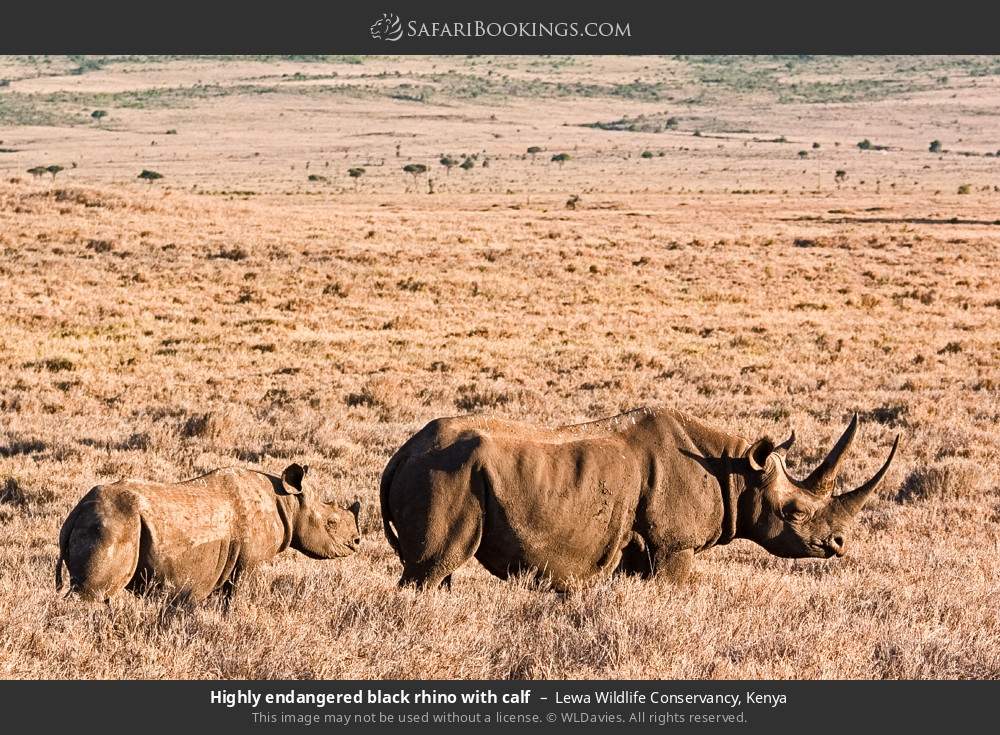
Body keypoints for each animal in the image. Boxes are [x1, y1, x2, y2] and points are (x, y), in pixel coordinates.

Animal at [56, 464, 361, 605]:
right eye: (331, 522)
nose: (357, 542)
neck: (288, 502)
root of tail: (76, 513)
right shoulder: (249, 563)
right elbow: (238, 597)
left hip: (104, 522)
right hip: (113, 524)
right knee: (92, 594)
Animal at [380, 408, 898, 591]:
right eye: (794, 512)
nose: (837, 545)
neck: (733, 470)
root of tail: (400, 456)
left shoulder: (639, 544)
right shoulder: (675, 545)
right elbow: (675, 587)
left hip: (440, 474)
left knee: (439, 572)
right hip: (442, 477)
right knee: (431, 568)